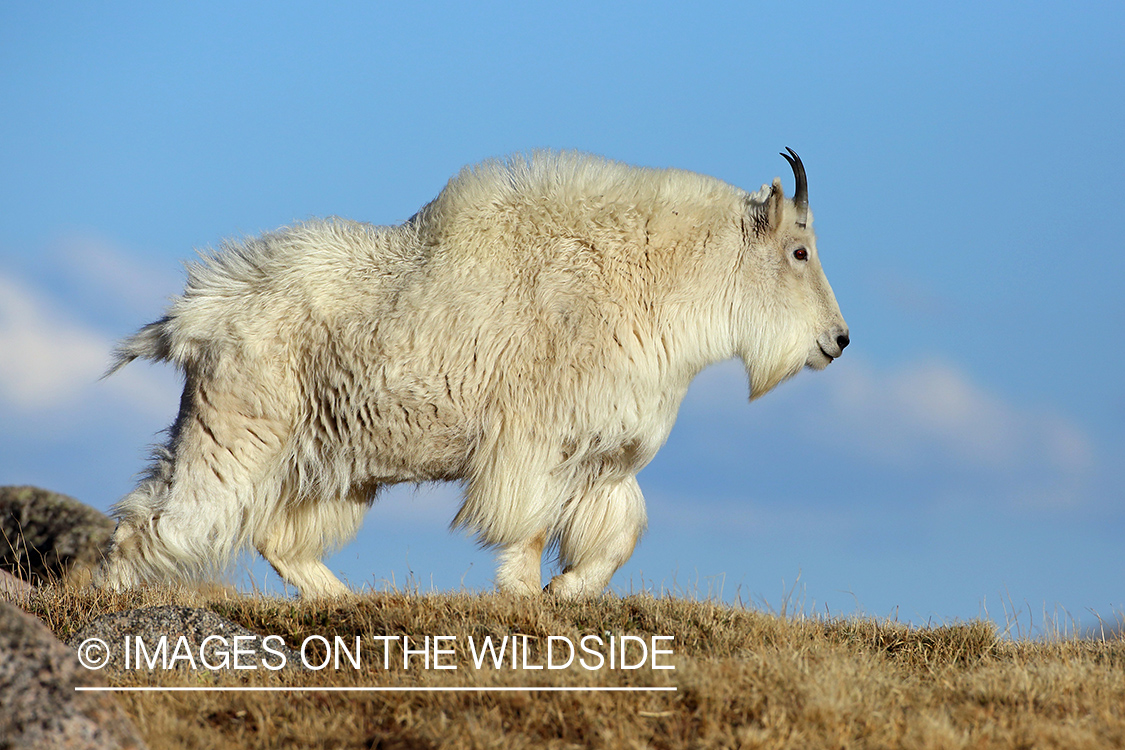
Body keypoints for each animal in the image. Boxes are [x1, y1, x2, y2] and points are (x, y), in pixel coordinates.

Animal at [96, 149, 846, 602]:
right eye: (799, 250)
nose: (836, 341)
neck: (647, 276)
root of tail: (197, 315)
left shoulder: (603, 452)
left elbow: (620, 533)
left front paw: (564, 593)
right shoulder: (534, 441)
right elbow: (530, 527)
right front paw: (523, 597)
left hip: (332, 461)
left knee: (275, 537)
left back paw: (344, 599)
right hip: (235, 431)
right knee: (155, 522)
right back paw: (106, 602)